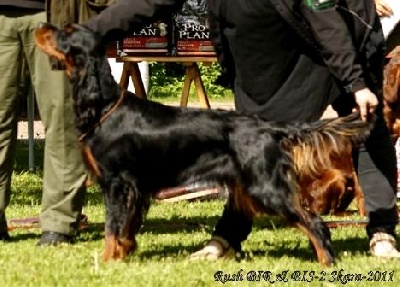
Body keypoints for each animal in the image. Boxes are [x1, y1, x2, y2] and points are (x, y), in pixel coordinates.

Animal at [35, 22, 376, 266]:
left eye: (65, 33)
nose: (41, 26)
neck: (104, 105)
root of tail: (268, 127)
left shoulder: (118, 183)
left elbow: (112, 227)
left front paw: (106, 262)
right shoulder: (134, 188)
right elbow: (126, 228)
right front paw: (123, 255)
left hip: (265, 187)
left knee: (314, 221)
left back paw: (327, 263)